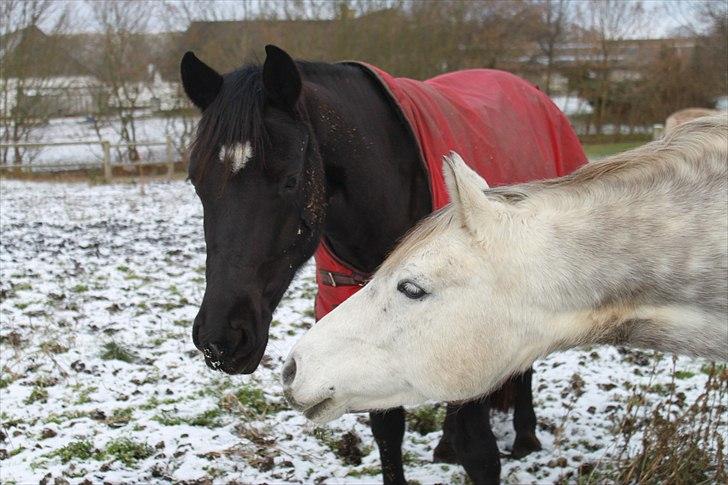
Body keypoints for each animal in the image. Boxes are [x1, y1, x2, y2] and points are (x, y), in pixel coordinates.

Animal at [179, 44, 536, 480]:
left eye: (290, 180)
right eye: (196, 182)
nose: (221, 338)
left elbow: (479, 452)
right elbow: (388, 433)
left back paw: (526, 437)